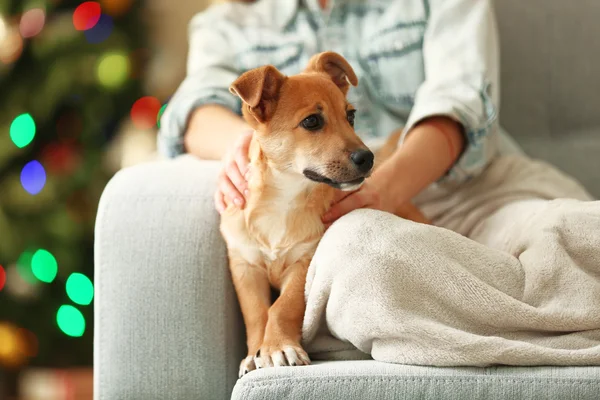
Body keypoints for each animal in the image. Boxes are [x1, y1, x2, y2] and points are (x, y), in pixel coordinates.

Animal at [220, 51, 432, 376]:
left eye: (351, 116)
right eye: (312, 121)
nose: (368, 158)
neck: (284, 197)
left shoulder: (305, 262)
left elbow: (282, 308)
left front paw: (278, 346)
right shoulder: (245, 265)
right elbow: (256, 312)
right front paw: (255, 354)